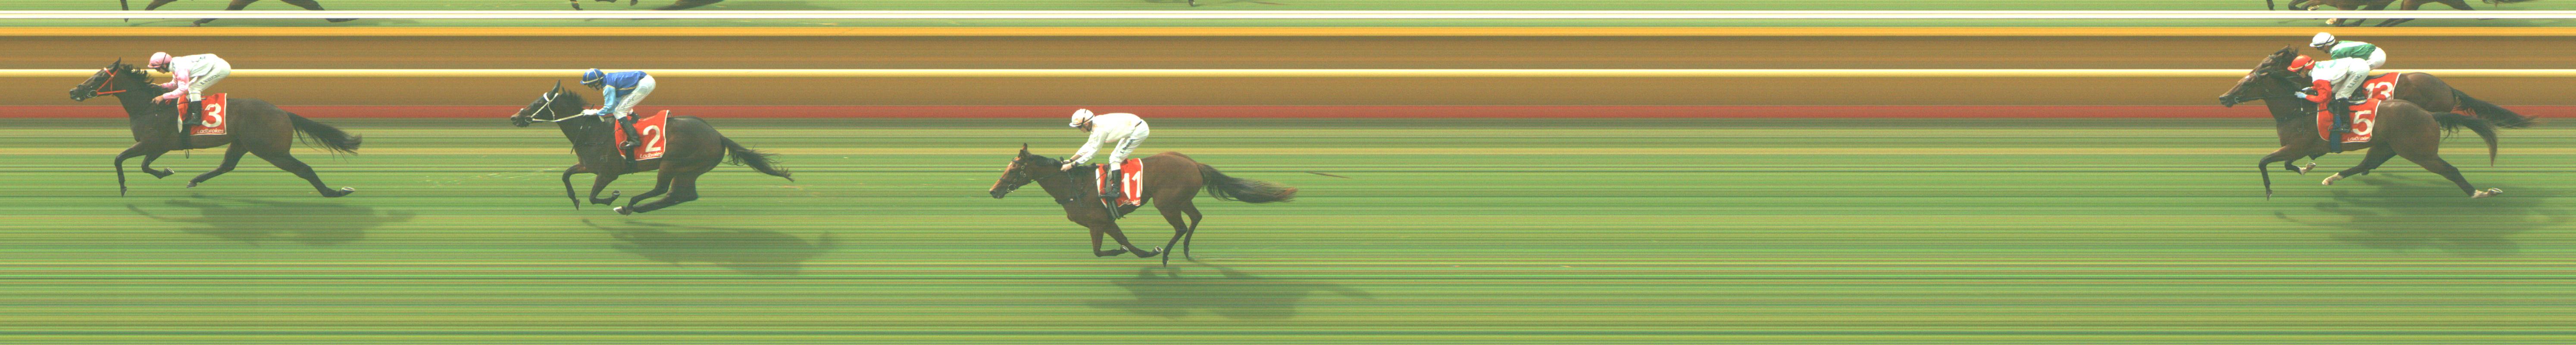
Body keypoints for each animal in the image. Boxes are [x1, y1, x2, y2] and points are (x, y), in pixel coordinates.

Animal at [68, 60, 363, 198]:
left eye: (98, 77)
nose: (73, 91)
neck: (147, 106)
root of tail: (283, 113)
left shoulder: (153, 143)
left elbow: (120, 159)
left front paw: (124, 188)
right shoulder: (160, 146)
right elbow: (143, 165)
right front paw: (166, 172)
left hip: (272, 151)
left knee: (305, 170)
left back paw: (335, 192)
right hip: (242, 144)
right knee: (227, 166)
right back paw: (195, 180)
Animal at [508, 82, 792, 215]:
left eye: (537, 104)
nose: (514, 118)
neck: (590, 130)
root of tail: (719, 135)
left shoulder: (608, 173)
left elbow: (593, 196)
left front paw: (613, 197)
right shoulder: (588, 165)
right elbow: (566, 176)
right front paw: (575, 199)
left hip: (673, 164)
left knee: (663, 190)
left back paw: (630, 204)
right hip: (690, 170)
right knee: (680, 195)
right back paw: (633, 208)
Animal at [988, 145, 1298, 266]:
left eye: (1013, 170)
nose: (993, 191)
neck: (1074, 187)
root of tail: (1194, 163)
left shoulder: (1100, 221)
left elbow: (1112, 249)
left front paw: (1149, 252)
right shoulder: (1101, 223)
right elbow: (1116, 246)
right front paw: (1132, 251)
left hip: (1166, 202)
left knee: (1181, 226)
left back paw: (1167, 255)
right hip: (1182, 199)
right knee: (1196, 219)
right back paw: (1185, 252)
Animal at [2218, 47, 2506, 199]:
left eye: (2250, 81)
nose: (2223, 98)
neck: (2298, 110)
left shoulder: (2296, 145)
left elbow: (2264, 161)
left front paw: (2269, 190)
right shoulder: (2298, 148)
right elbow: (2289, 164)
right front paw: (2307, 168)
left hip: (2419, 152)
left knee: (2450, 170)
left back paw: (2480, 193)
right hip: (2387, 144)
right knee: (2369, 163)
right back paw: (2333, 178)